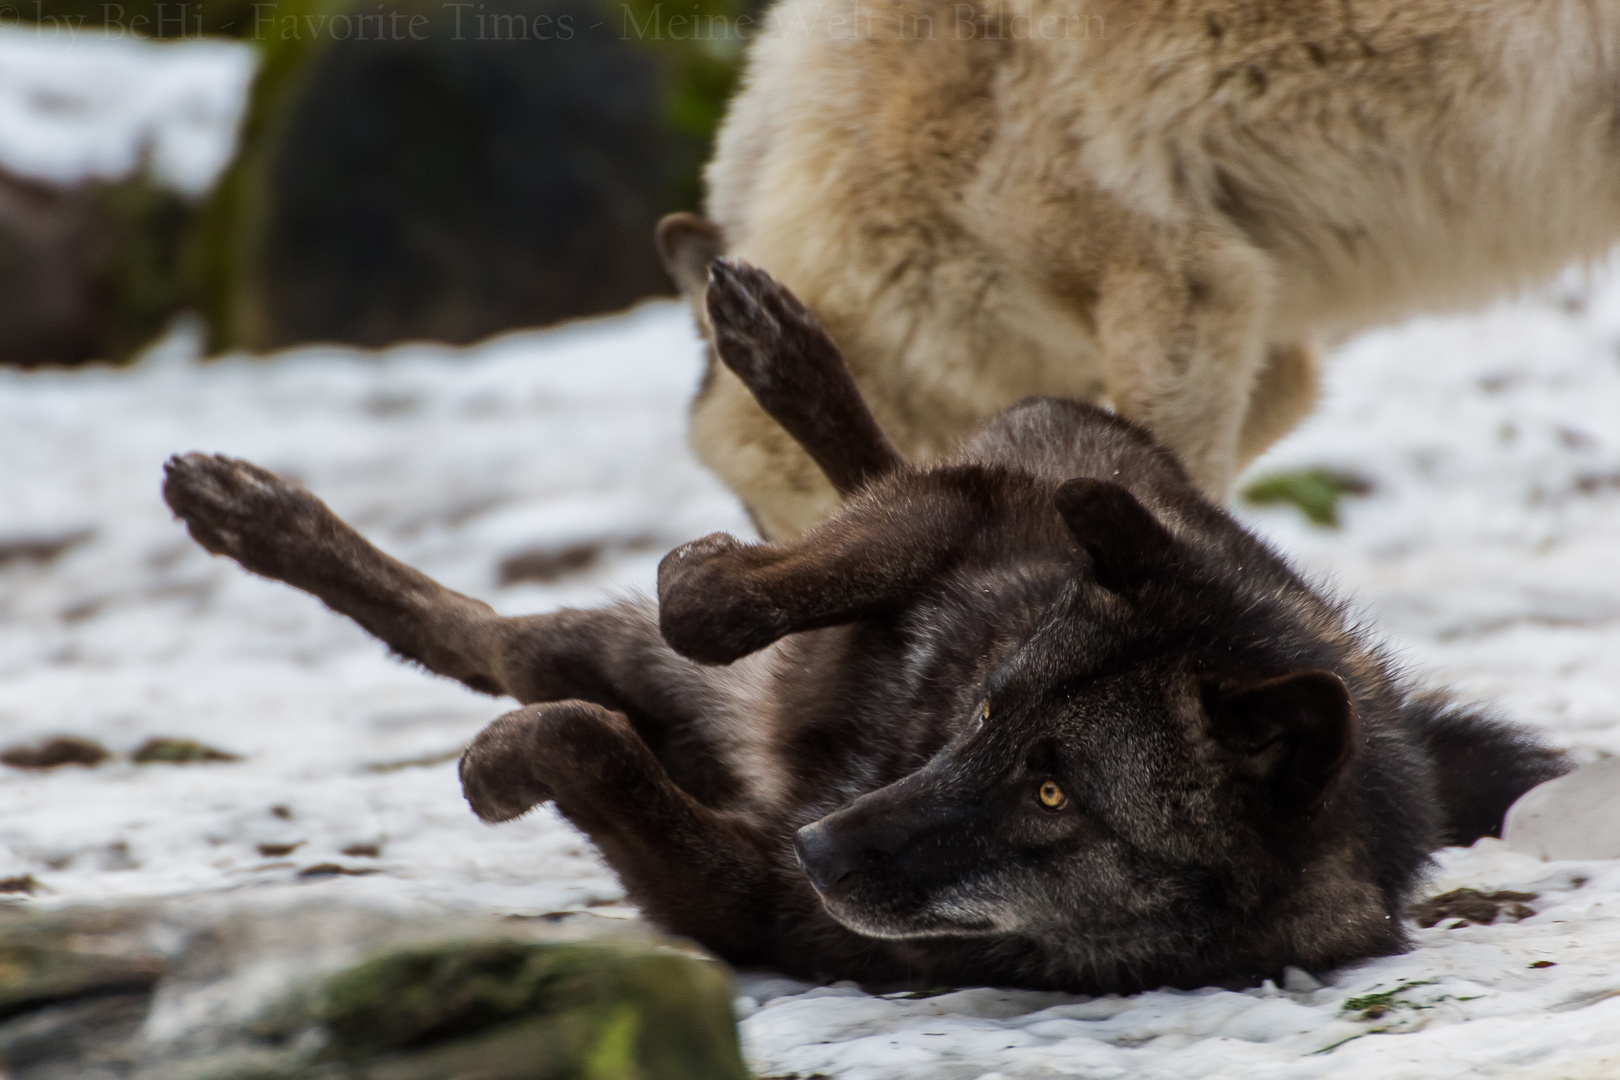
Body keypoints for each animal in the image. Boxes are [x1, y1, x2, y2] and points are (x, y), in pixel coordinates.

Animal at [157, 265, 1561, 990]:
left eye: (1055, 795)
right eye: (990, 713)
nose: (824, 842)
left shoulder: (742, 903)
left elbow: (580, 743)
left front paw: (503, 767)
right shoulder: (970, 516)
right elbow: (733, 587)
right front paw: (716, 553)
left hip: (656, 696)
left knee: (508, 655)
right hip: (1044, 453)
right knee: (870, 476)